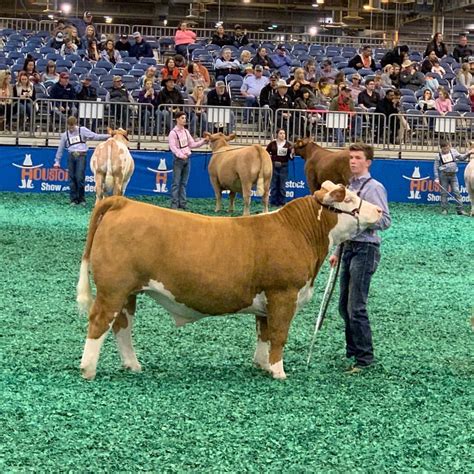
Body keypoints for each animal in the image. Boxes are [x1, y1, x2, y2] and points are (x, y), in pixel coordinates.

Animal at [77, 181, 382, 382]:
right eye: (350, 200)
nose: (379, 211)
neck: (297, 232)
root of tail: (124, 202)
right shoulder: (283, 293)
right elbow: (279, 334)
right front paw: (279, 372)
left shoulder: (266, 300)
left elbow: (264, 332)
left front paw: (262, 365)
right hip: (113, 289)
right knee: (99, 322)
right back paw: (88, 369)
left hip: (128, 292)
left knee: (122, 326)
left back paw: (133, 365)